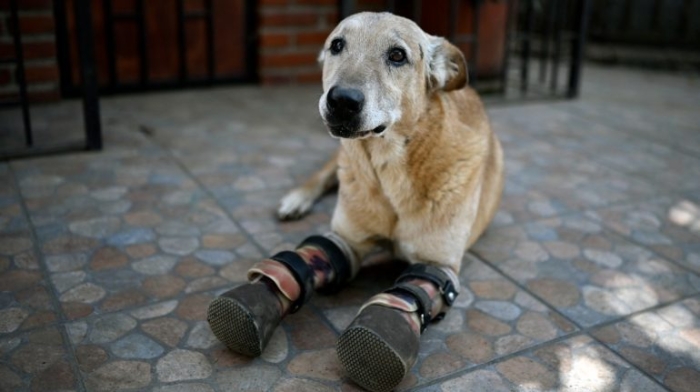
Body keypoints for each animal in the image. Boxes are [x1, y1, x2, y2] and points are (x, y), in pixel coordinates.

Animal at [278, 12, 504, 276]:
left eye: (397, 55)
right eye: (336, 45)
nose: (342, 101)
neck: (386, 167)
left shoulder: (436, 263)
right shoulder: (346, 240)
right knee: (323, 175)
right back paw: (295, 200)